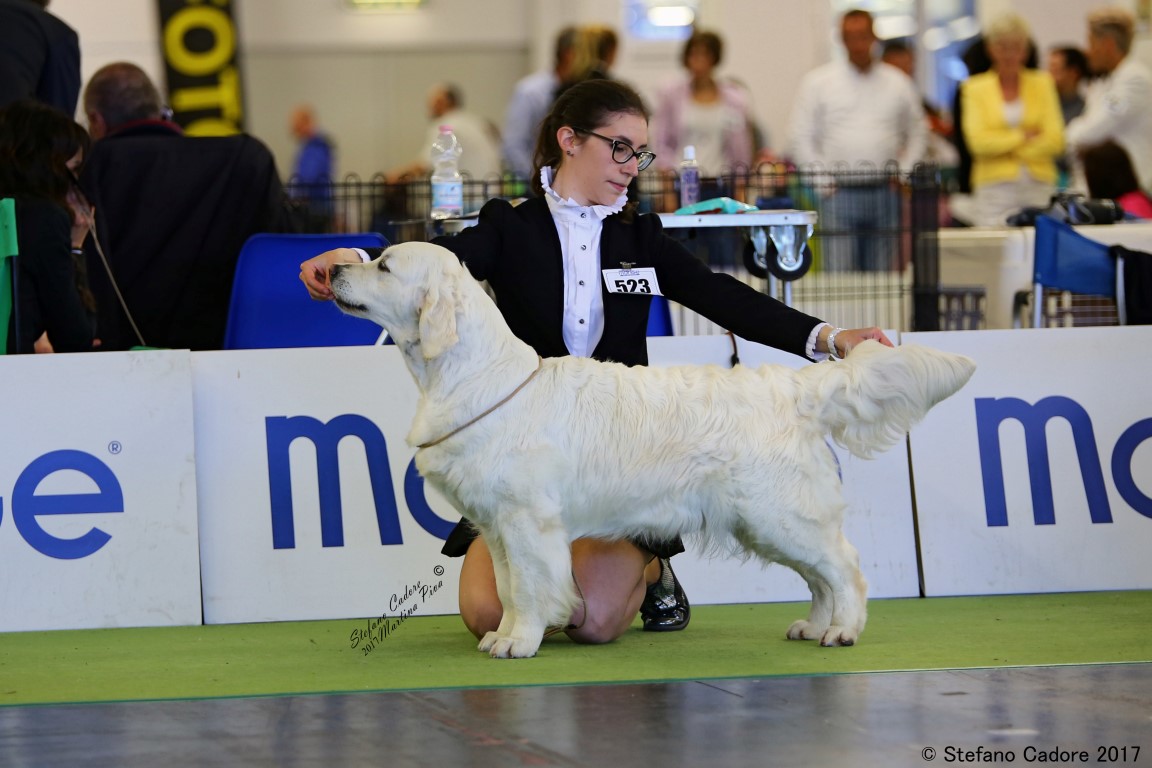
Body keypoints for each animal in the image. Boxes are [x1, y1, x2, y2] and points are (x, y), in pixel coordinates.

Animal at [329, 242, 976, 658]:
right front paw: (506, 633)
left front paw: (521, 641)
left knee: (846, 568)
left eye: (384, 265)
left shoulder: (528, 521)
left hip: (782, 514)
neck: (475, 374)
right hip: (767, 523)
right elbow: (511, 590)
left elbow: (534, 587)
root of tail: (791, 386)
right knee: (821, 578)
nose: (332, 267)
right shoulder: (497, 526)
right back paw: (814, 627)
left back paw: (843, 632)